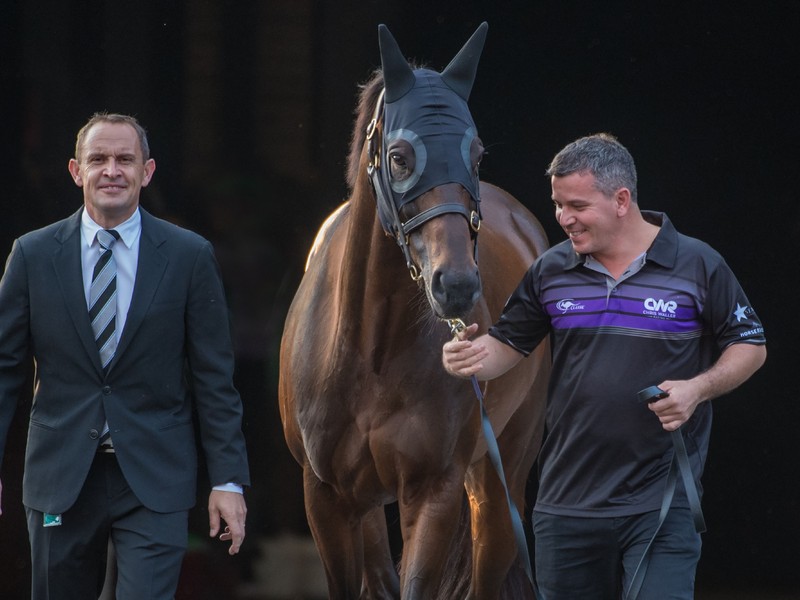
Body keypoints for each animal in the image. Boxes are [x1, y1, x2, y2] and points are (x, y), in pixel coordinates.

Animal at [280, 23, 552, 600]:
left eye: (477, 154)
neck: (371, 351)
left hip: (498, 484)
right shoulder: (326, 498)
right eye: (400, 156)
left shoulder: (433, 491)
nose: (457, 286)